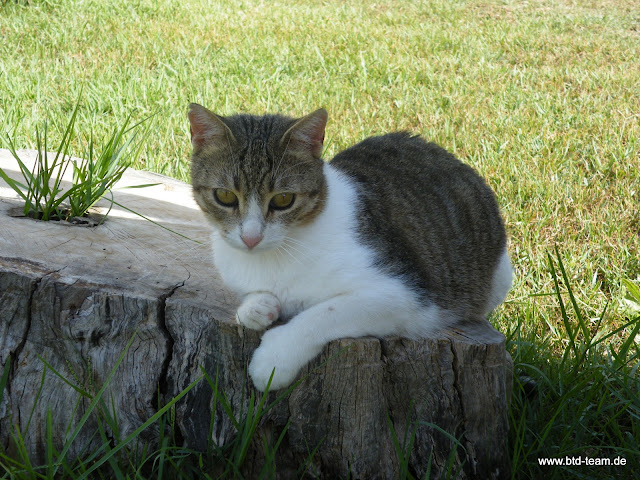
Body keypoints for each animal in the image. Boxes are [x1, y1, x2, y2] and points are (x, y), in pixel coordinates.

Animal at [188, 103, 512, 392]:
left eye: (283, 200)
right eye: (224, 196)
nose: (251, 237)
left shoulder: (406, 295)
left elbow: (324, 313)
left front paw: (274, 359)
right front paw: (256, 307)